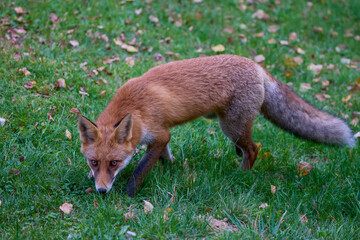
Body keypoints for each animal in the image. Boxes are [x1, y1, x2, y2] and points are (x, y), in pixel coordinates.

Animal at [77, 54, 356, 197]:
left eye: (114, 163)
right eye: (94, 162)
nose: (101, 191)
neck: (136, 107)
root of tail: (257, 66)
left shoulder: (159, 134)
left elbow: (140, 170)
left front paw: (129, 194)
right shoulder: (162, 135)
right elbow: (166, 155)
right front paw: (173, 166)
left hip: (232, 127)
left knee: (253, 149)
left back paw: (241, 175)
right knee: (246, 148)